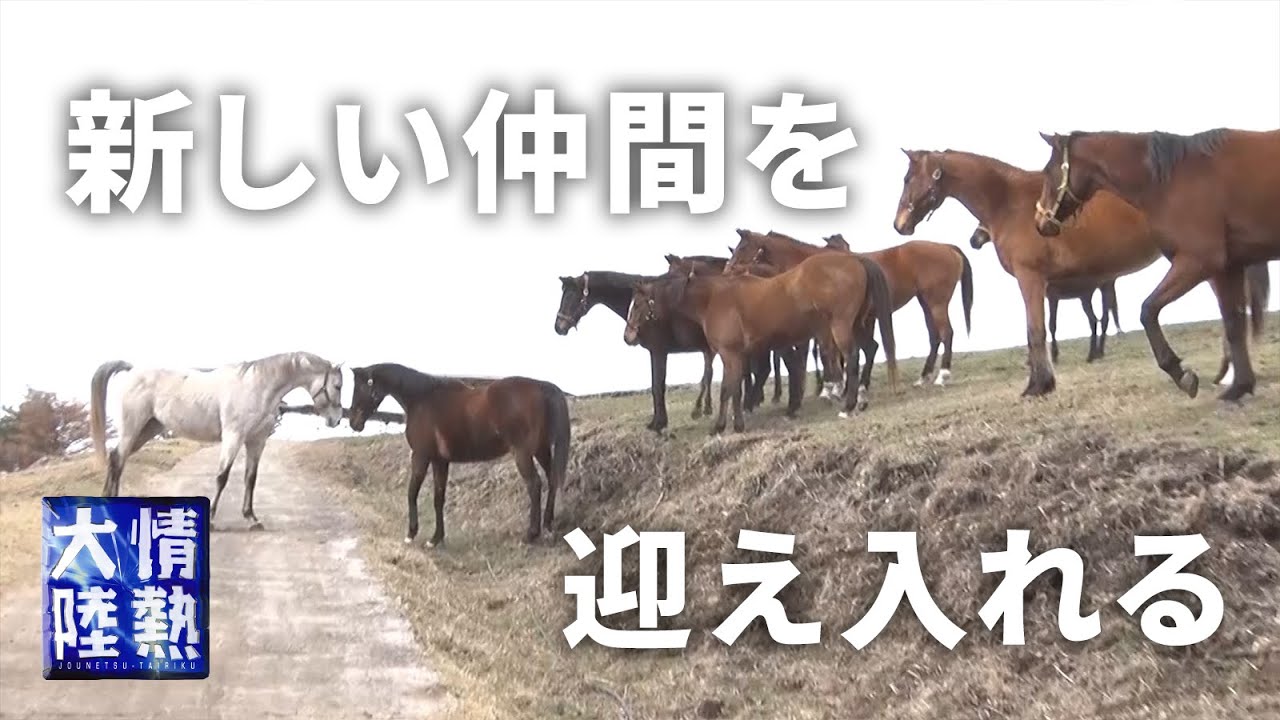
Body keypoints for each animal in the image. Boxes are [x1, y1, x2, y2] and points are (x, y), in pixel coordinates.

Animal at [90, 352, 344, 530]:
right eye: (337, 385)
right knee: (117, 460)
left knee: (116, 459)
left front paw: (251, 519)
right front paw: (211, 520)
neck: (257, 386)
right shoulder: (233, 436)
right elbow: (222, 477)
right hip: (132, 429)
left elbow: (250, 479)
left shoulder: (256, 442)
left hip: (146, 430)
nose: (336, 419)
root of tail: (132, 371)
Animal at [346, 363, 571, 546]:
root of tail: (541, 386)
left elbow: (412, 492)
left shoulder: (420, 456)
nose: (354, 423)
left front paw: (411, 534)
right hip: (541, 449)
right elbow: (439, 498)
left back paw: (531, 534)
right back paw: (548, 527)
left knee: (534, 485)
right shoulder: (440, 461)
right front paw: (436, 539)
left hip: (522, 453)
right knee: (552, 480)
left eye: (361, 388)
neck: (422, 399)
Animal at [627, 252, 898, 433]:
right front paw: (732, 425)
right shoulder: (733, 356)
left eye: (638, 304)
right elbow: (732, 389)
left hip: (840, 327)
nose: (628, 336)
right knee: (867, 351)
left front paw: (724, 426)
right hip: (857, 326)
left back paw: (848, 405)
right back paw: (859, 400)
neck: (713, 298)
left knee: (851, 359)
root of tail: (855, 260)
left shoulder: (730, 354)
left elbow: (729, 390)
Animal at [969, 226, 1121, 363]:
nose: (973, 241)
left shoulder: (1052, 298)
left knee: (1098, 320)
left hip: (1093, 295)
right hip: (1094, 294)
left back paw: (1094, 354)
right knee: (1100, 319)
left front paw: (1054, 355)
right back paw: (1097, 353)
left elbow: (1051, 325)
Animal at [1033, 129, 1280, 401]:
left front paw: (1181, 375)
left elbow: (1148, 310)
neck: (1172, 180)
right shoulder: (1228, 267)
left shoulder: (1199, 261)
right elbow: (1234, 323)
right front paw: (1240, 386)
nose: (1040, 222)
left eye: (1048, 171)